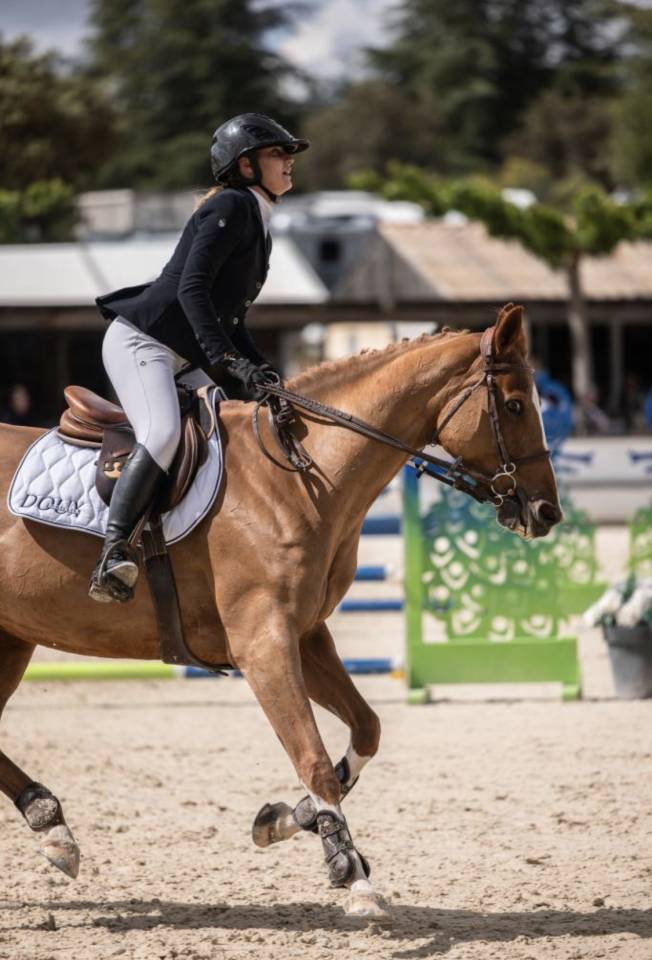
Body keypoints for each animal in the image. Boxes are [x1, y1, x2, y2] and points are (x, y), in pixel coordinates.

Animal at [0, 303, 561, 920]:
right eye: (514, 405)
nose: (546, 512)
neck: (299, 474)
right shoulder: (262, 644)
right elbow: (311, 754)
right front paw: (349, 873)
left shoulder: (307, 635)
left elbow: (366, 730)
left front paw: (289, 820)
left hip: (12, 637)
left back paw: (51, 826)